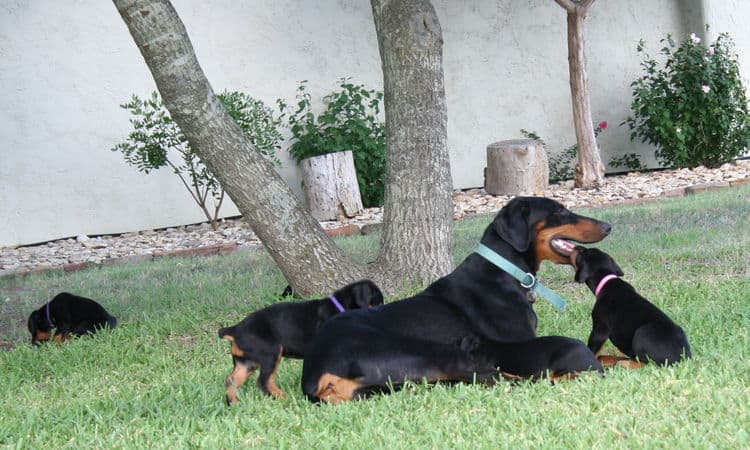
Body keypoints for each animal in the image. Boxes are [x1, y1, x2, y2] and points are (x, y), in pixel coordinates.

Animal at [216, 280, 382, 406]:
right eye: (378, 302)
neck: (339, 306)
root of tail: (235, 329)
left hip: (246, 362)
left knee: (231, 380)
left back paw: (233, 403)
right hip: (270, 353)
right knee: (264, 381)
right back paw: (284, 398)